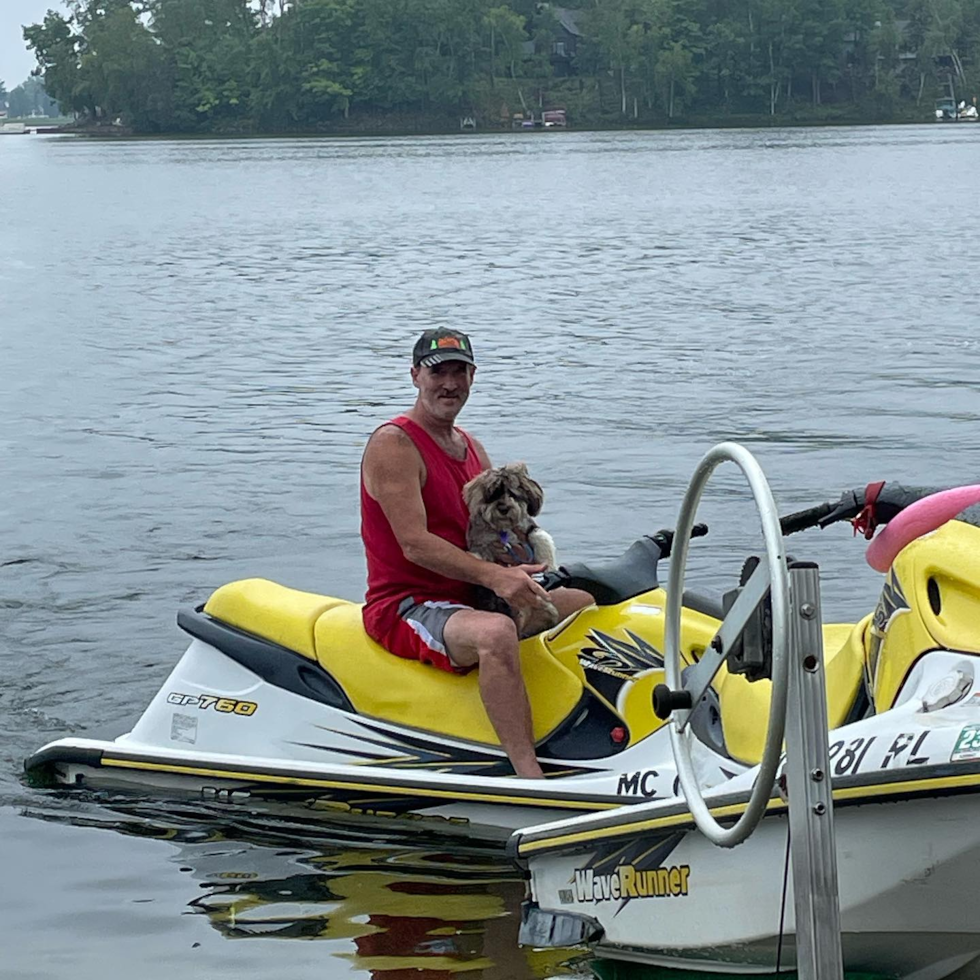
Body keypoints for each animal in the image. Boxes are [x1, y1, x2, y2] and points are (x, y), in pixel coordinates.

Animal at [462, 464, 560, 640]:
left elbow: (539, 537)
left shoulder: (529, 529)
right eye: (493, 494)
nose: (503, 508)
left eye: (513, 494)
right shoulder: (483, 543)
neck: (504, 530)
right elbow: (481, 556)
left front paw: (549, 566)